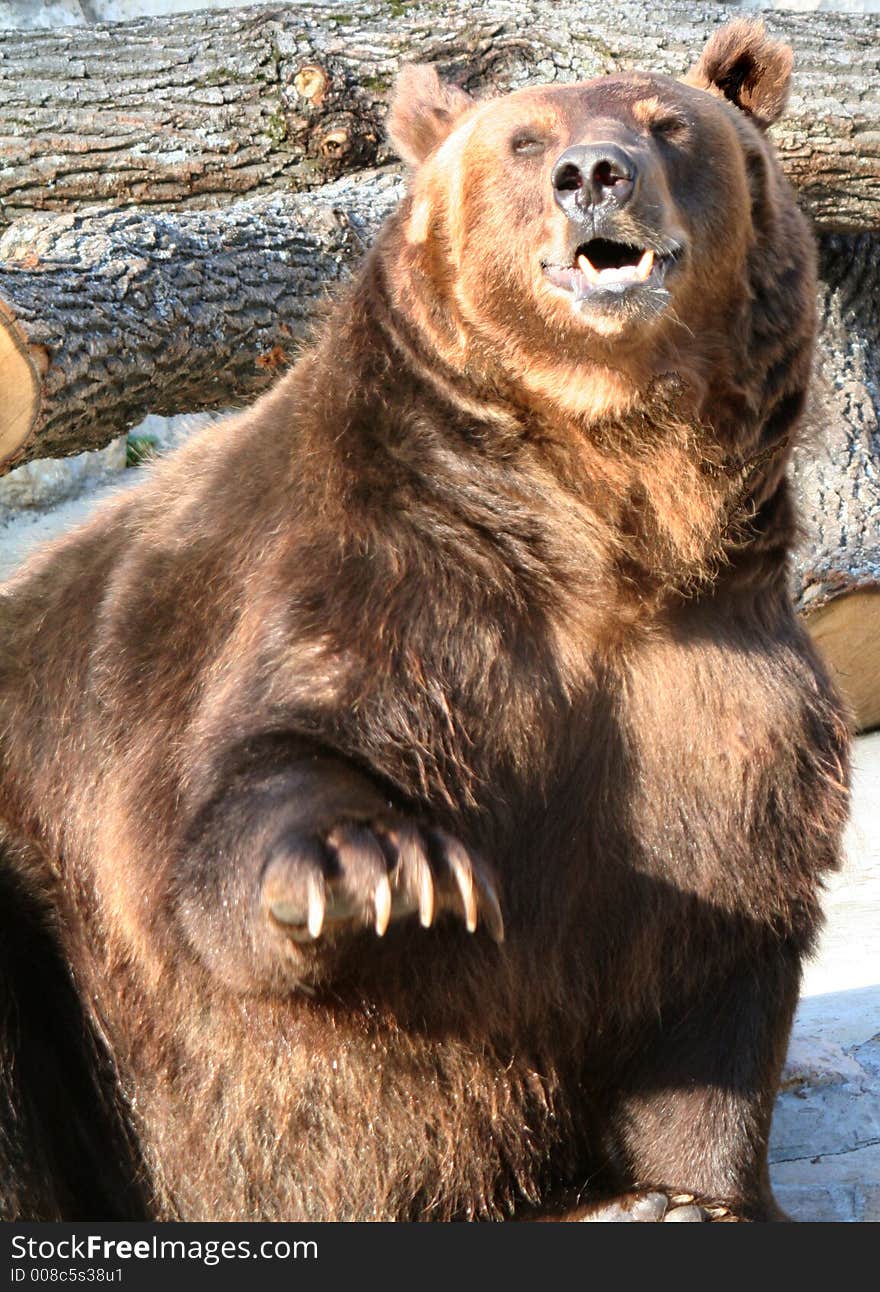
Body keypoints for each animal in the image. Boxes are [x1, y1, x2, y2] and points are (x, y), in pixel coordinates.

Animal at [0, 22, 852, 1219]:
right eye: (523, 137)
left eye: (668, 123)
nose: (594, 174)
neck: (606, 519)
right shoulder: (385, 605)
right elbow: (256, 774)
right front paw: (380, 868)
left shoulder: (711, 692)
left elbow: (718, 945)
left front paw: (678, 1194)